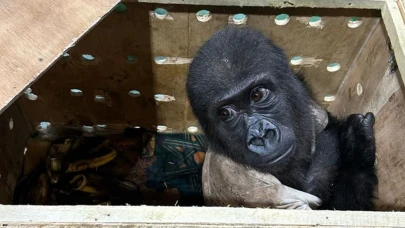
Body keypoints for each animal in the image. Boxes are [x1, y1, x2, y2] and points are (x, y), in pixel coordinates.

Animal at [185, 26, 376, 210]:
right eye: (225, 114)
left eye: (257, 95)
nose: (260, 134)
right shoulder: (249, 184)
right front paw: (356, 151)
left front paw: (356, 146)